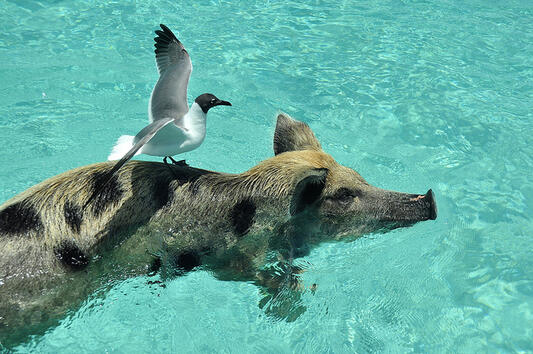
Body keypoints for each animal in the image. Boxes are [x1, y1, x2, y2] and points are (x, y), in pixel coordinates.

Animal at [0, 112, 436, 346]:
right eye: (344, 195)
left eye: (360, 177)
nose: (430, 199)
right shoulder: (229, 254)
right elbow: (248, 274)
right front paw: (295, 298)